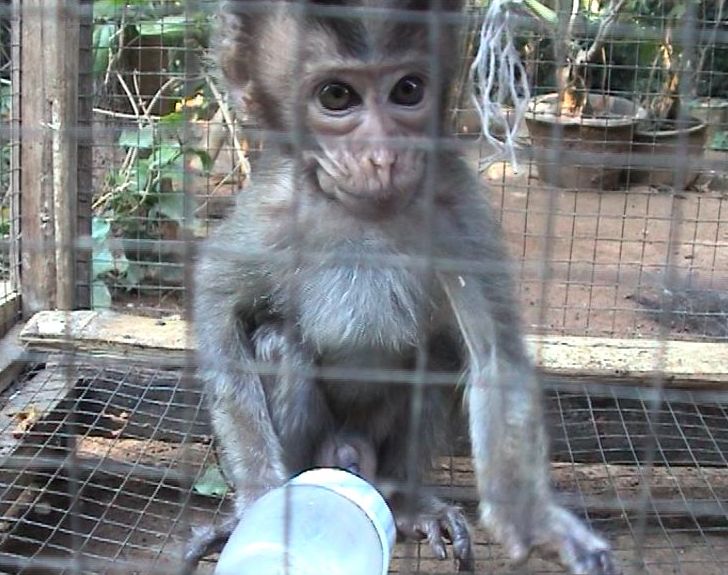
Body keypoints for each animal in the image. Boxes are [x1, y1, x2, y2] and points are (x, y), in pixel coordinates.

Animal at [189, 0, 620, 572]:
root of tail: (351, 457)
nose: (384, 155)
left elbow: (495, 356)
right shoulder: (273, 207)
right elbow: (218, 303)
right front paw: (258, 500)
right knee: (279, 342)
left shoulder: (457, 202)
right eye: (337, 96)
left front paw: (536, 523)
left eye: (408, 90)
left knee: (437, 355)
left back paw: (408, 504)